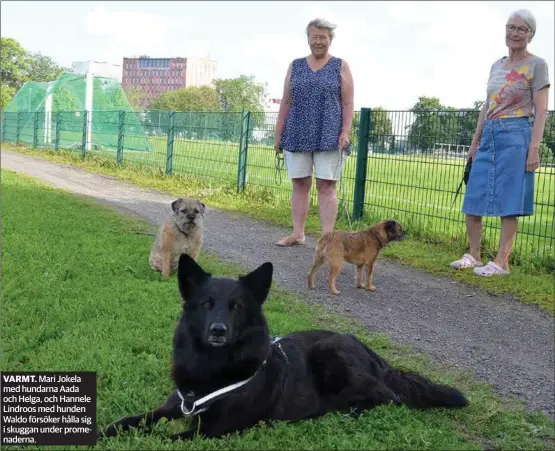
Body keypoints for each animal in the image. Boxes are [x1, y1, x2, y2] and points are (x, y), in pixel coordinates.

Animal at [96, 256, 470, 444]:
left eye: (235, 306)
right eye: (207, 304)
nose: (218, 331)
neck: (215, 369)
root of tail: (366, 347)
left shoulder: (214, 430)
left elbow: (165, 440)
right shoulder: (176, 407)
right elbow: (130, 421)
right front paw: (101, 433)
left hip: (331, 356)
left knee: (390, 397)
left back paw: (345, 411)